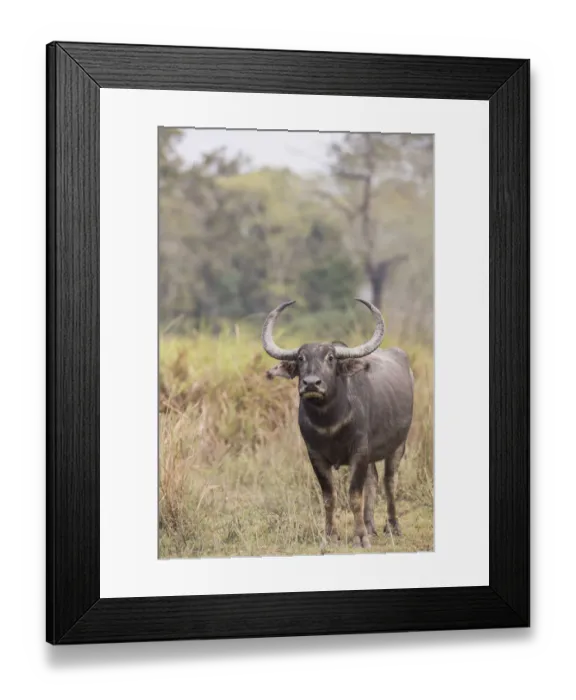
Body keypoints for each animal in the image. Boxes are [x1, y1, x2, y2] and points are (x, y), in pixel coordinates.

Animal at [262, 299, 414, 548]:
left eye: (330, 358)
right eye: (301, 358)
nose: (311, 383)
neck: (330, 422)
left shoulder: (359, 451)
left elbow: (354, 495)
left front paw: (359, 538)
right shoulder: (315, 455)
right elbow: (329, 497)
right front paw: (330, 535)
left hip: (398, 444)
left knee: (389, 481)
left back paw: (392, 526)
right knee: (373, 480)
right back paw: (370, 526)